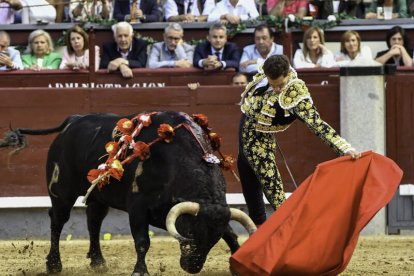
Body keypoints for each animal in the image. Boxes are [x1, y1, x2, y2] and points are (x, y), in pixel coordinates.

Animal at [0, 111, 256, 274]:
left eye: (212, 241)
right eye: (191, 231)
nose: (191, 267)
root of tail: (72, 122)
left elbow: (231, 235)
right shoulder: (138, 208)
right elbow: (142, 241)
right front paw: (140, 271)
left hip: (98, 196)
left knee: (94, 222)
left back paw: (98, 262)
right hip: (61, 192)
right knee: (57, 221)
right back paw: (54, 265)